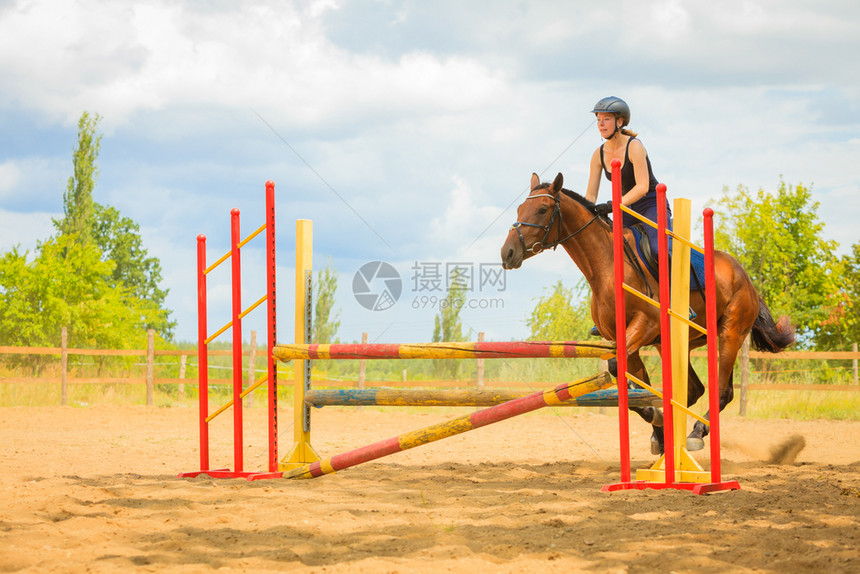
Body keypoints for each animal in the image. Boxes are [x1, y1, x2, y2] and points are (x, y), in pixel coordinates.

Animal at [500, 173, 796, 456]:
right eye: (520, 208)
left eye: (542, 209)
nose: (507, 253)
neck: (606, 264)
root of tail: (745, 276)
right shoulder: (625, 339)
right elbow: (634, 383)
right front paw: (659, 430)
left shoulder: (645, 325)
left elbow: (621, 373)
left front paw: (656, 418)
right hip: (675, 343)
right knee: (694, 389)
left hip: (730, 333)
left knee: (722, 392)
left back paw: (696, 433)